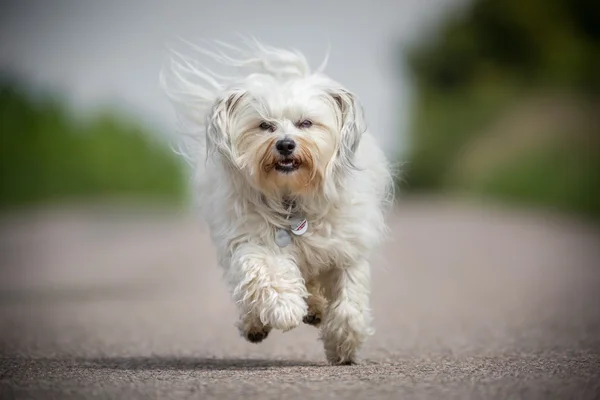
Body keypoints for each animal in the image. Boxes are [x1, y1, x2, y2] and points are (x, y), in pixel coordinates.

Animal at [159, 39, 394, 364]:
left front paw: (343, 345)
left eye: (305, 123)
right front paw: (285, 309)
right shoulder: (252, 239)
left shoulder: (346, 249)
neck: (291, 197)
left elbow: (350, 303)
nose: (285, 144)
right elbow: (266, 273)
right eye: (265, 126)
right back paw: (257, 324)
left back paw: (315, 309)